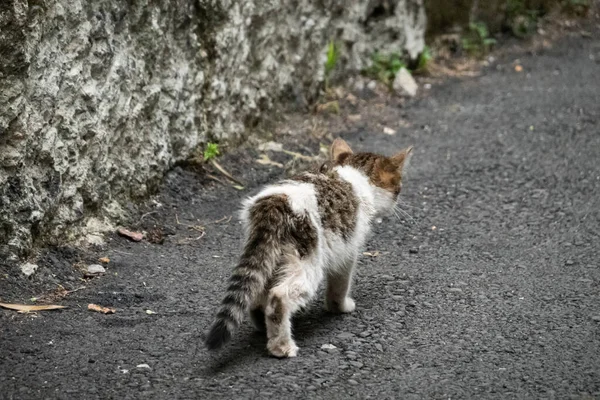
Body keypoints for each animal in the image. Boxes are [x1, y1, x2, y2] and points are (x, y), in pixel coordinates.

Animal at [204, 139, 410, 358]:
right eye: (398, 187)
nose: (397, 201)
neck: (355, 175)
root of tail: (274, 203)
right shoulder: (346, 251)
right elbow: (340, 284)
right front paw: (340, 307)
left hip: (269, 256)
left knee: (257, 291)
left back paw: (262, 326)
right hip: (308, 261)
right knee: (278, 297)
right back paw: (281, 347)